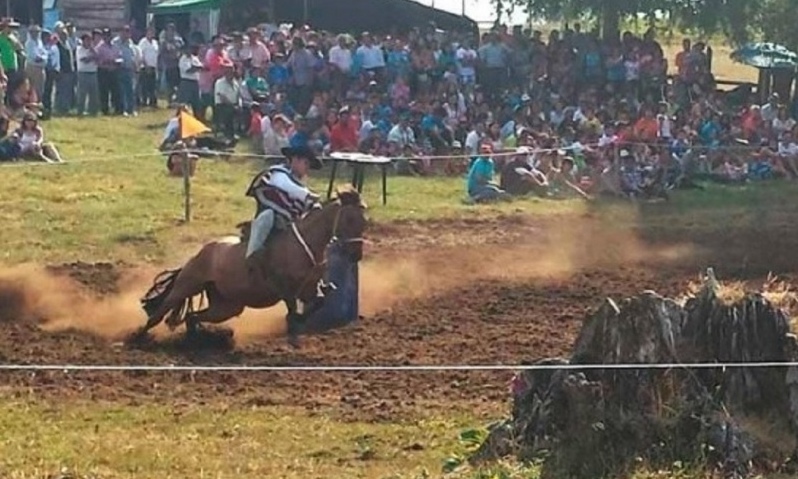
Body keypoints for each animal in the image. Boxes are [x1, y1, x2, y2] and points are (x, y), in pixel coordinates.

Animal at [134, 188, 368, 348]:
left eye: (364, 222)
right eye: (349, 219)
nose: (356, 255)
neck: (303, 243)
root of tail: (201, 252)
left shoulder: (309, 288)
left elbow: (319, 301)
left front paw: (299, 322)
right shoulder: (286, 289)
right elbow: (294, 308)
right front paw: (293, 329)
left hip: (227, 306)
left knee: (192, 317)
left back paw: (197, 341)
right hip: (187, 285)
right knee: (157, 315)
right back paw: (137, 338)